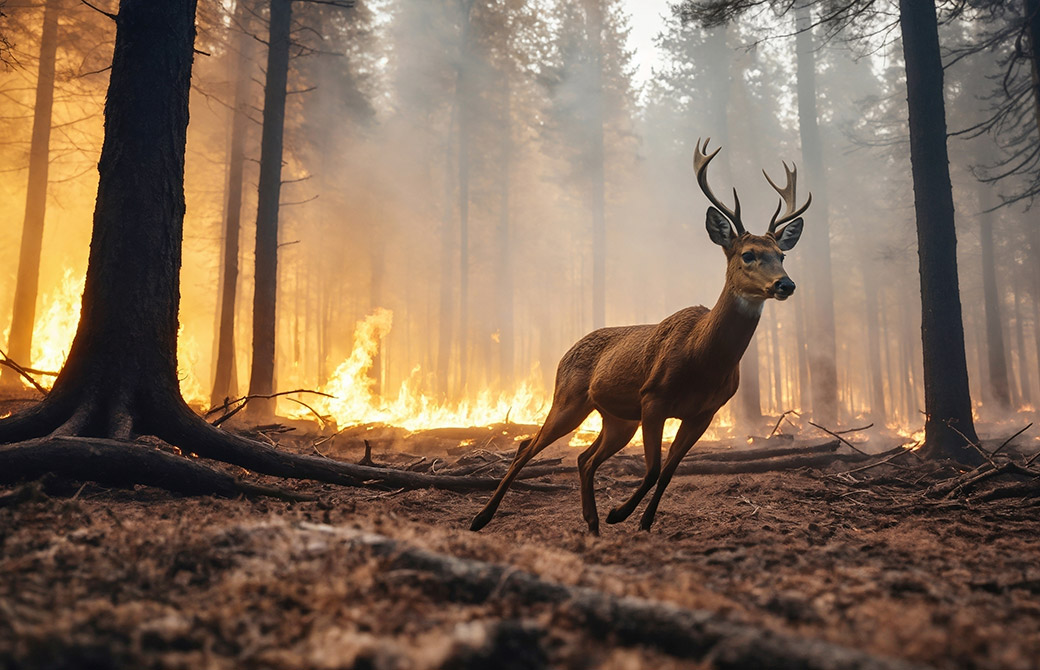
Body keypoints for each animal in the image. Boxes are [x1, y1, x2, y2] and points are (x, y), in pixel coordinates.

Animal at [472, 137, 811, 532]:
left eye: (782, 255)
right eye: (748, 254)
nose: (785, 284)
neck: (703, 359)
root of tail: (566, 352)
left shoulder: (705, 412)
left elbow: (668, 472)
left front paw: (643, 522)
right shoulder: (653, 398)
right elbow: (651, 469)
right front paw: (620, 513)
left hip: (618, 419)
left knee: (585, 458)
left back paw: (592, 523)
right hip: (569, 399)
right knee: (528, 445)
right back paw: (481, 517)